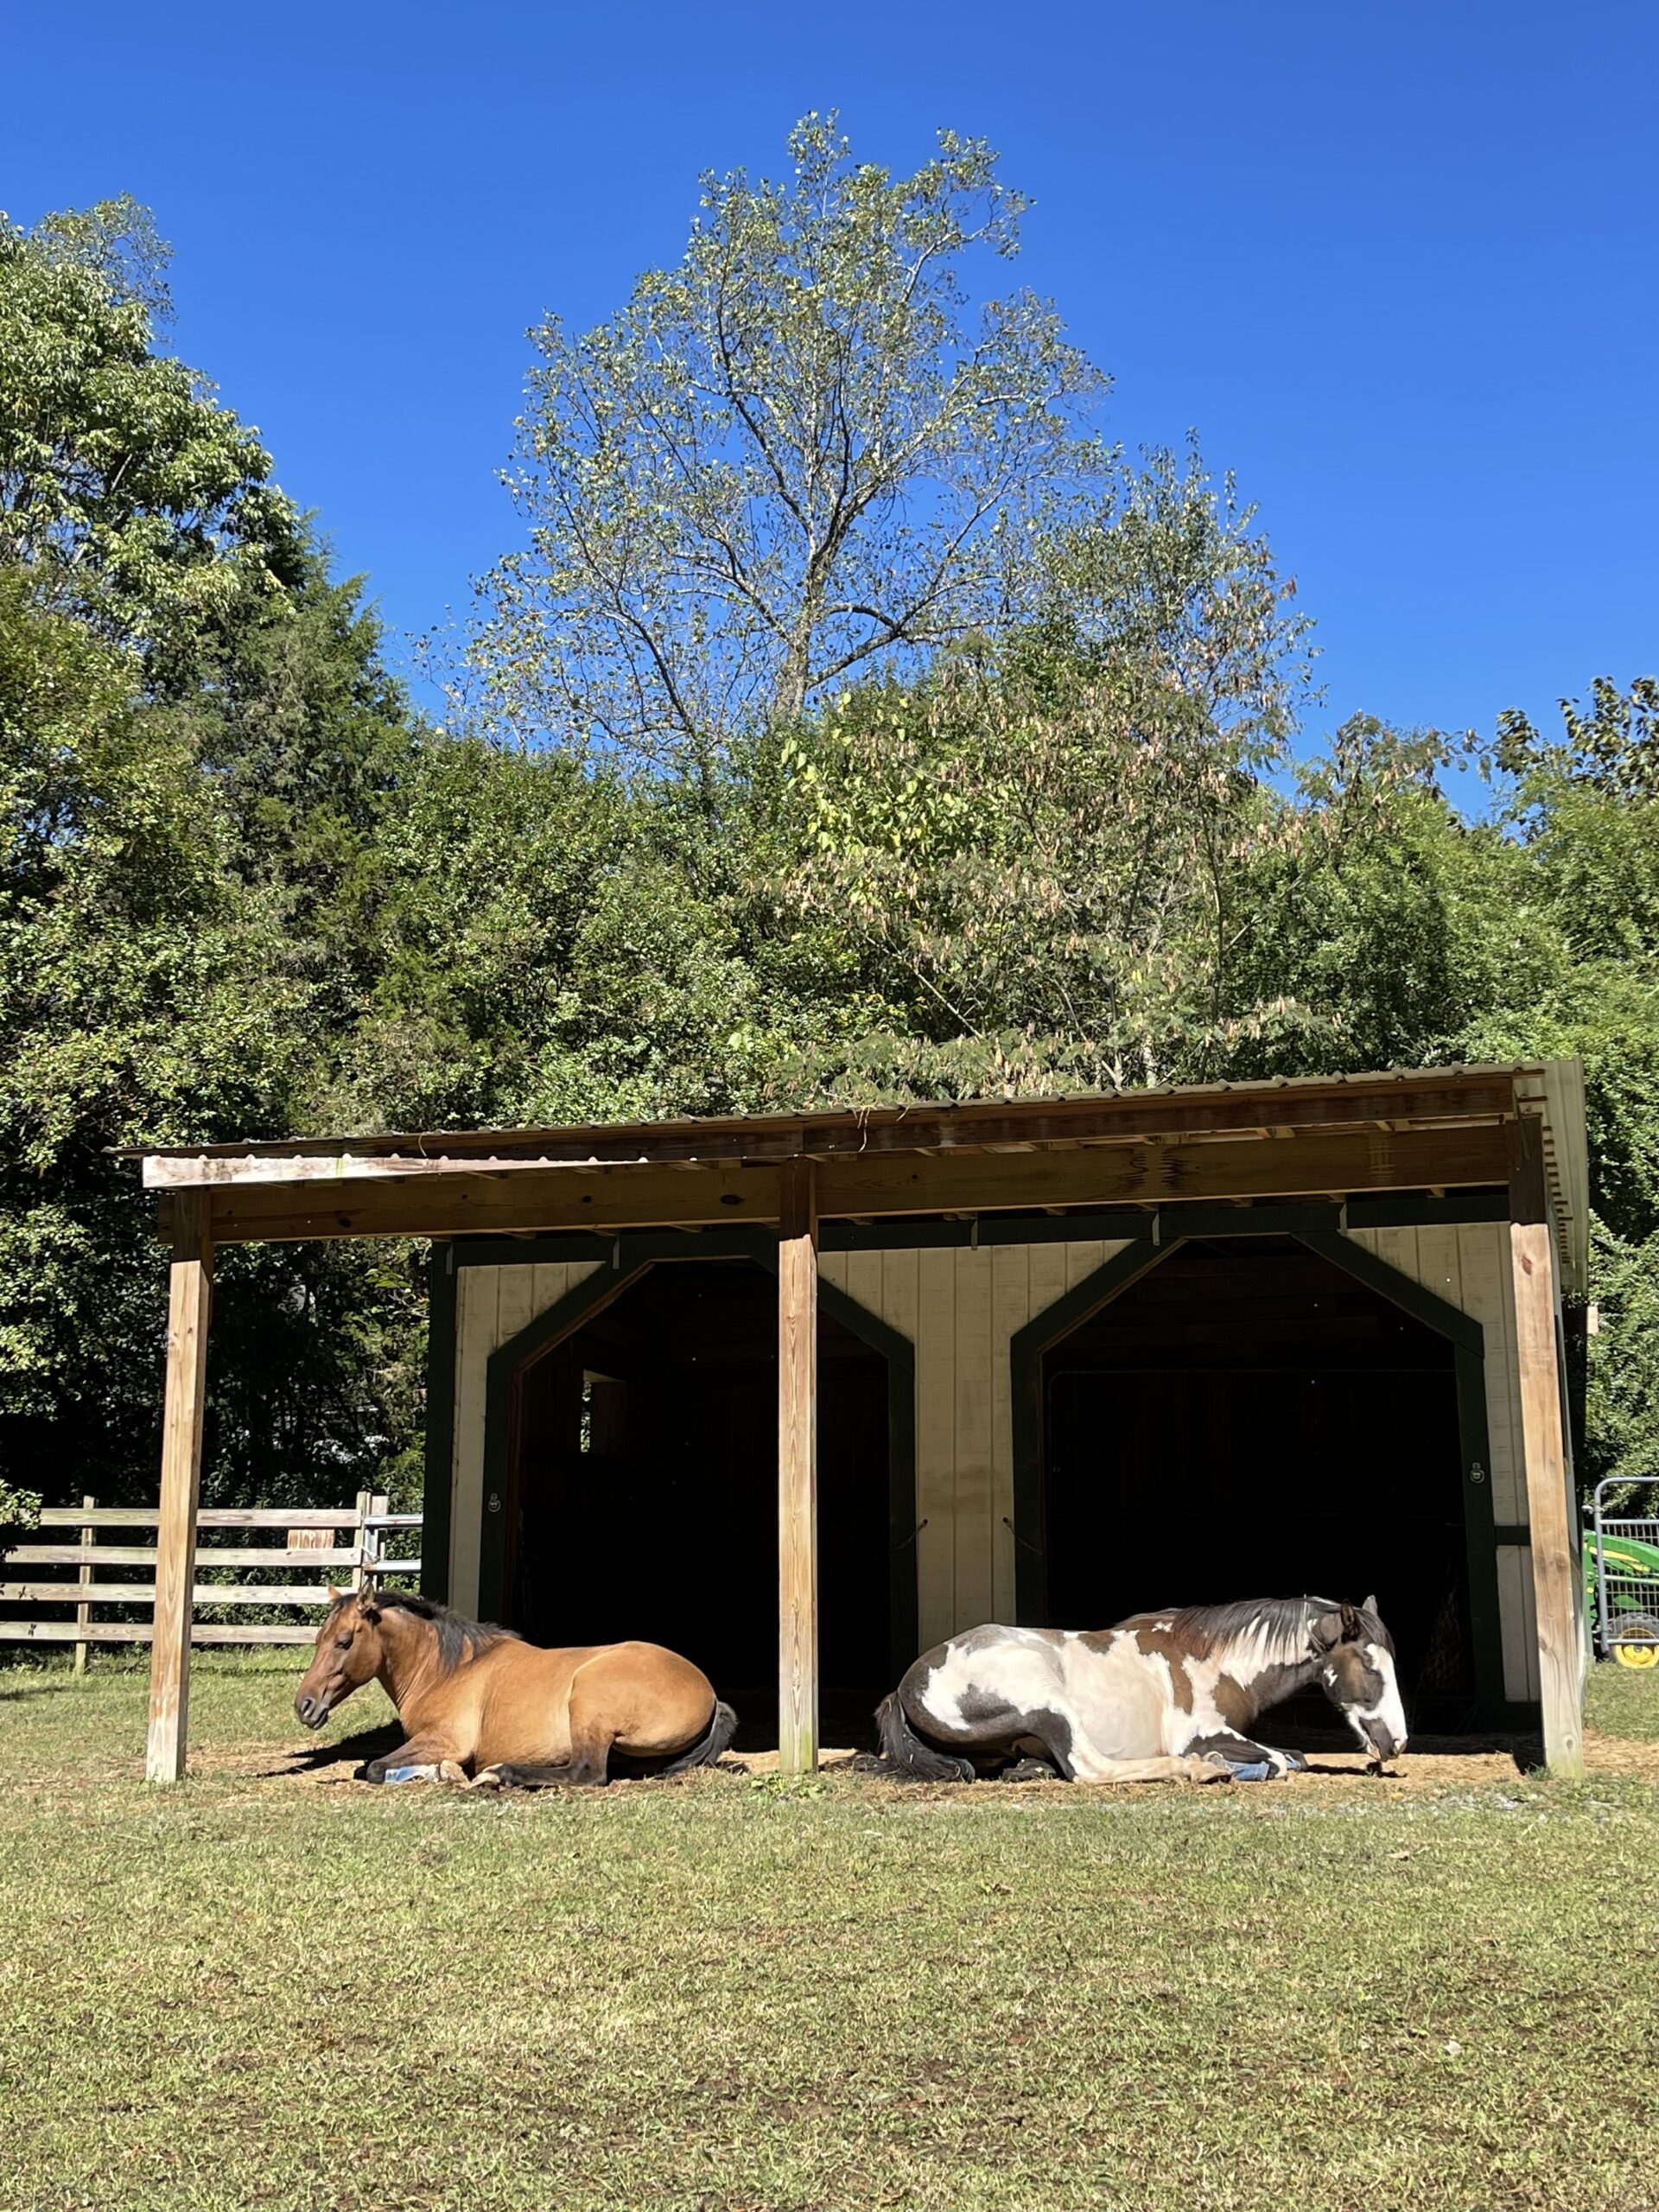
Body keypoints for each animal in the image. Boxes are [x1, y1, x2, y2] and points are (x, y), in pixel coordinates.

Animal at [296, 1583, 739, 1787]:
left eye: (344, 1641)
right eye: (318, 1638)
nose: (305, 1705)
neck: (448, 1669)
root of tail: (711, 1694)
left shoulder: (445, 1740)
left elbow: (373, 1767)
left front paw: (444, 1773)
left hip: (590, 1705)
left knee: (587, 1772)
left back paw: (501, 1774)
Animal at [875, 1592, 1407, 1778]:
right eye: (1368, 1663)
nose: (1397, 1742)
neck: (1216, 1662)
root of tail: (906, 1686)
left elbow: (1293, 1756)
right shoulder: (1199, 1733)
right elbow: (1280, 1761)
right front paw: (1225, 1764)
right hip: (1047, 1702)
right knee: (1089, 1769)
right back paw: (1200, 1769)